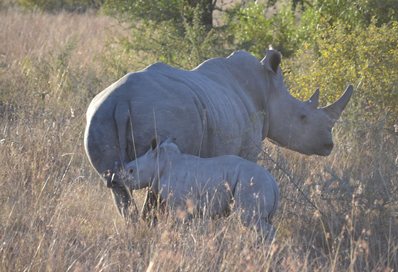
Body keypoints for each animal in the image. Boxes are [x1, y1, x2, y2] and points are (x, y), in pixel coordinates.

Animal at [84, 49, 352, 219]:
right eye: (303, 117)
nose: (328, 145)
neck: (268, 88)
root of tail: (121, 102)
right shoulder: (247, 150)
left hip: (99, 116)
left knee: (117, 185)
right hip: (161, 112)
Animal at [123, 140, 278, 240]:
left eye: (131, 171)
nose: (121, 176)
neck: (158, 162)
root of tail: (273, 182)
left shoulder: (179, 205)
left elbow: (180, 225)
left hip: (253, 183)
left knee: (249, 219)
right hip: (258, 183)